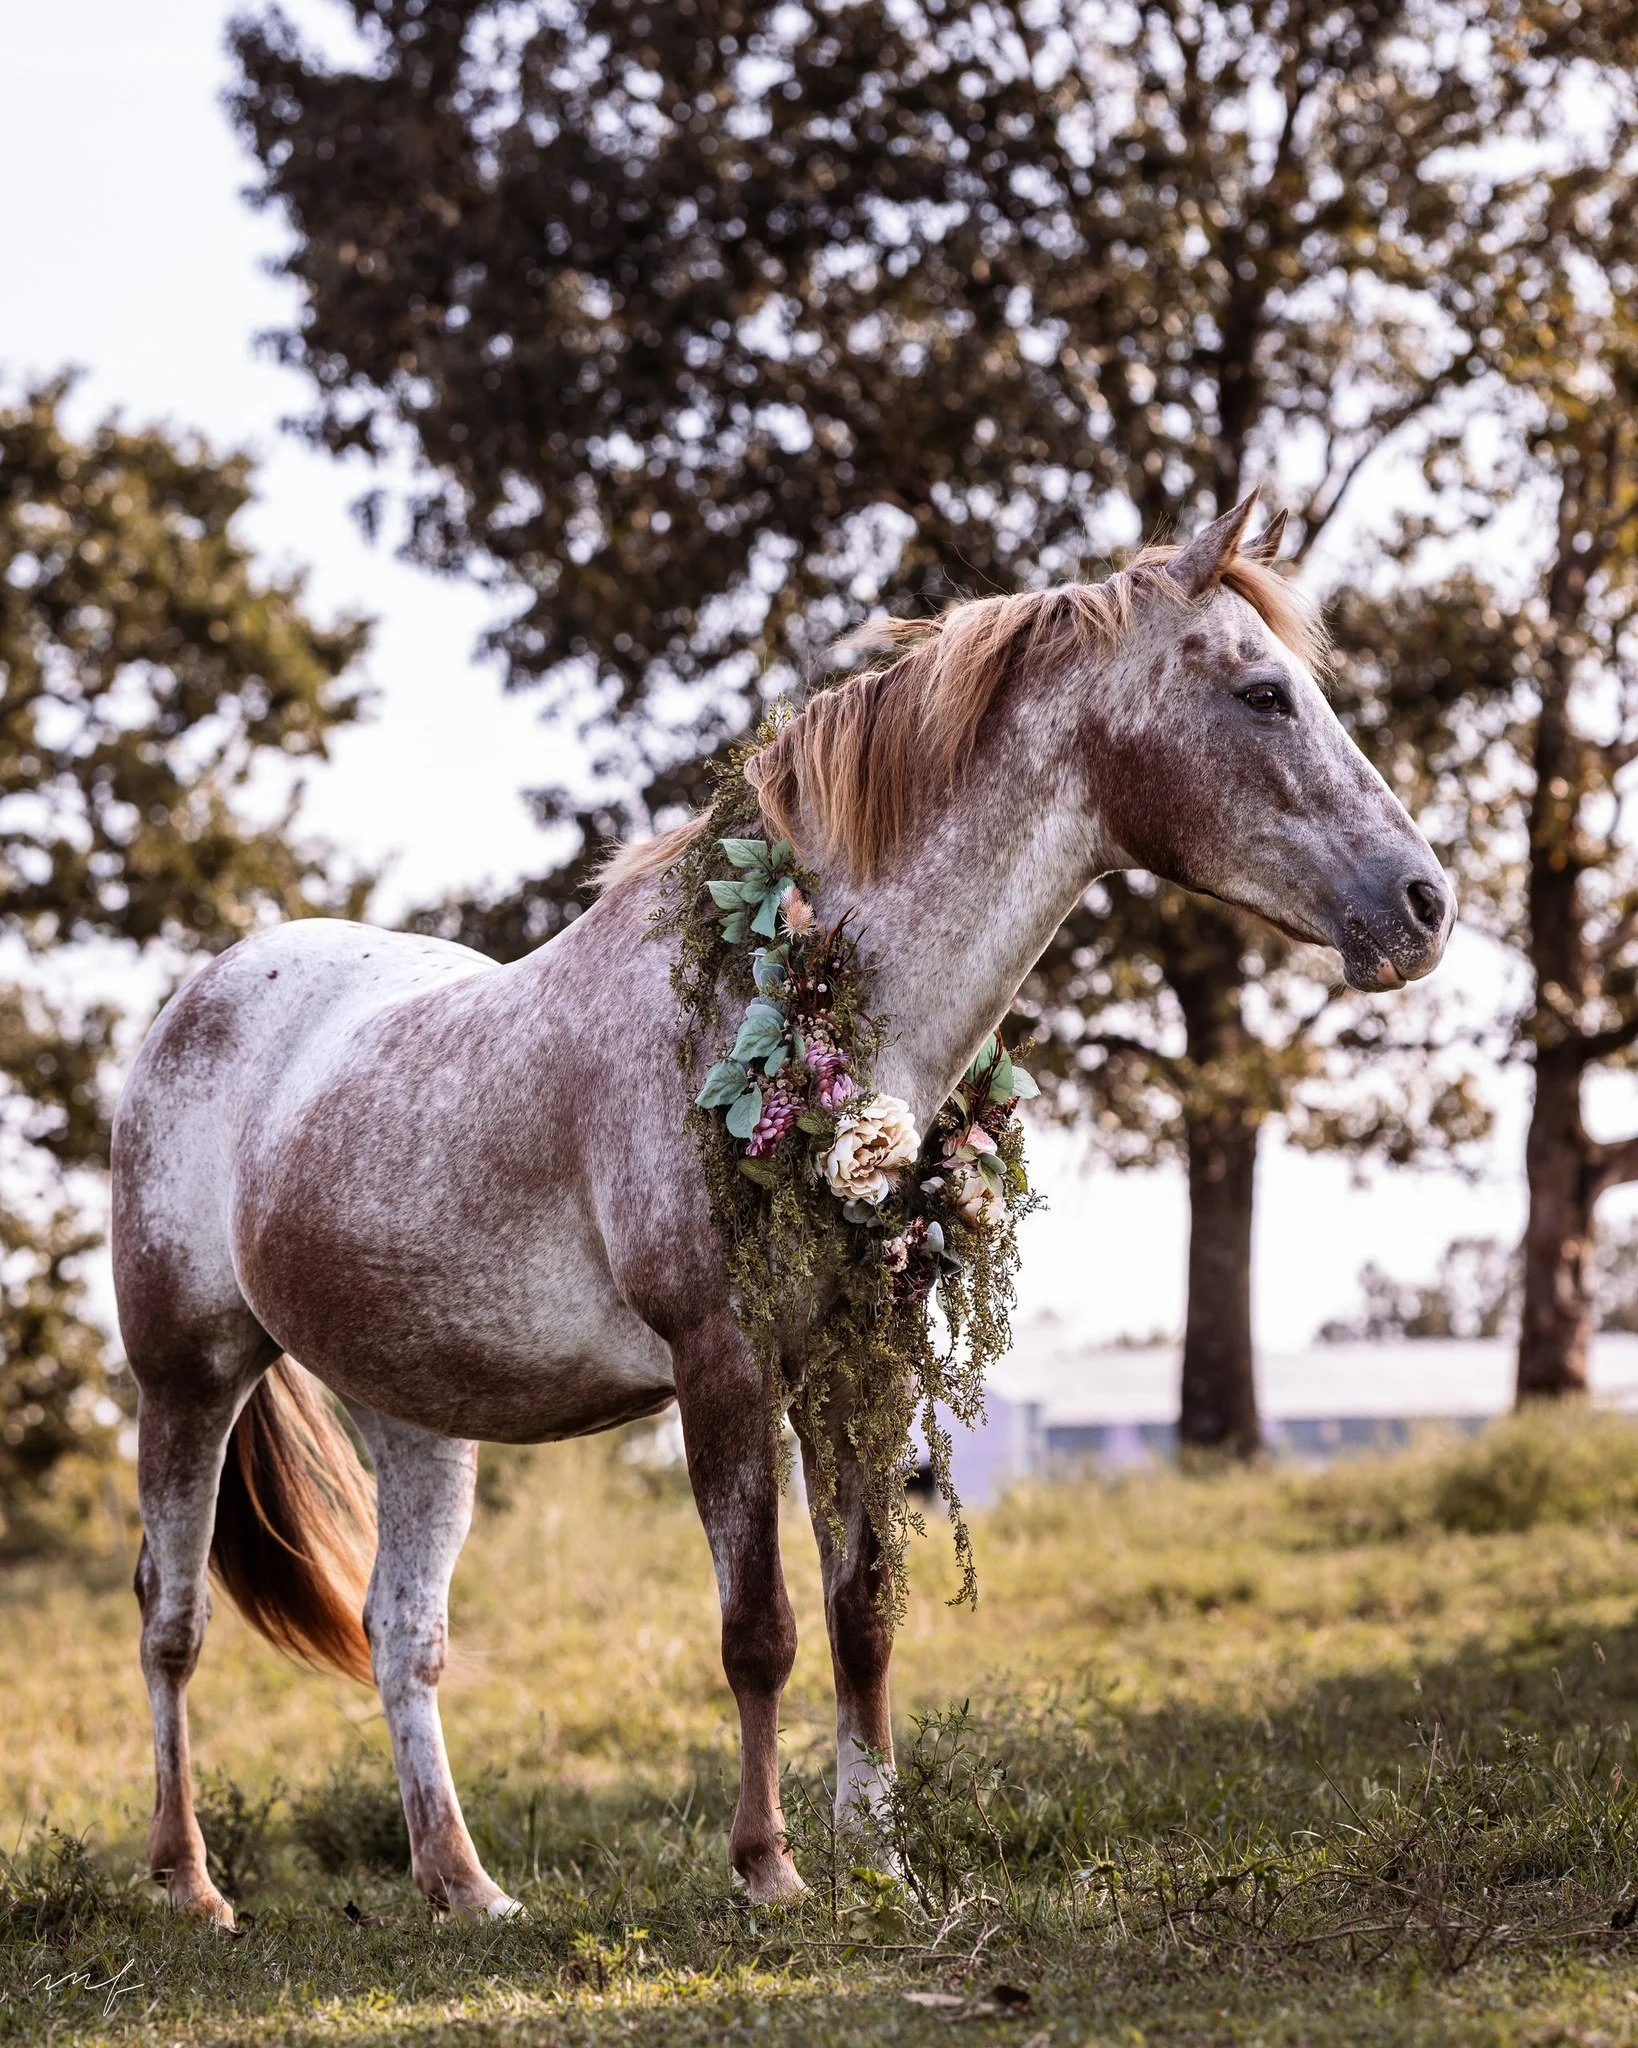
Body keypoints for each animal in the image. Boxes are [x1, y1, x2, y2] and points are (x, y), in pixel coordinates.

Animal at [111, 495, 1453, 1924]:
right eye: (1264, 693)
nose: (1423, 902)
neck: (779, 990)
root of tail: (199, 997)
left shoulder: (856, 1362)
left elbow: (862, 1610)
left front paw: (879, 1854)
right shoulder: (728, 1364)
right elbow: (758, 1630)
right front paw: (768, 1865)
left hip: (417, 1415)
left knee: (402, 1634)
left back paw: (464, 1886)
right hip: (188, 1375)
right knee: (172, 1622)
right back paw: (189, 1885)